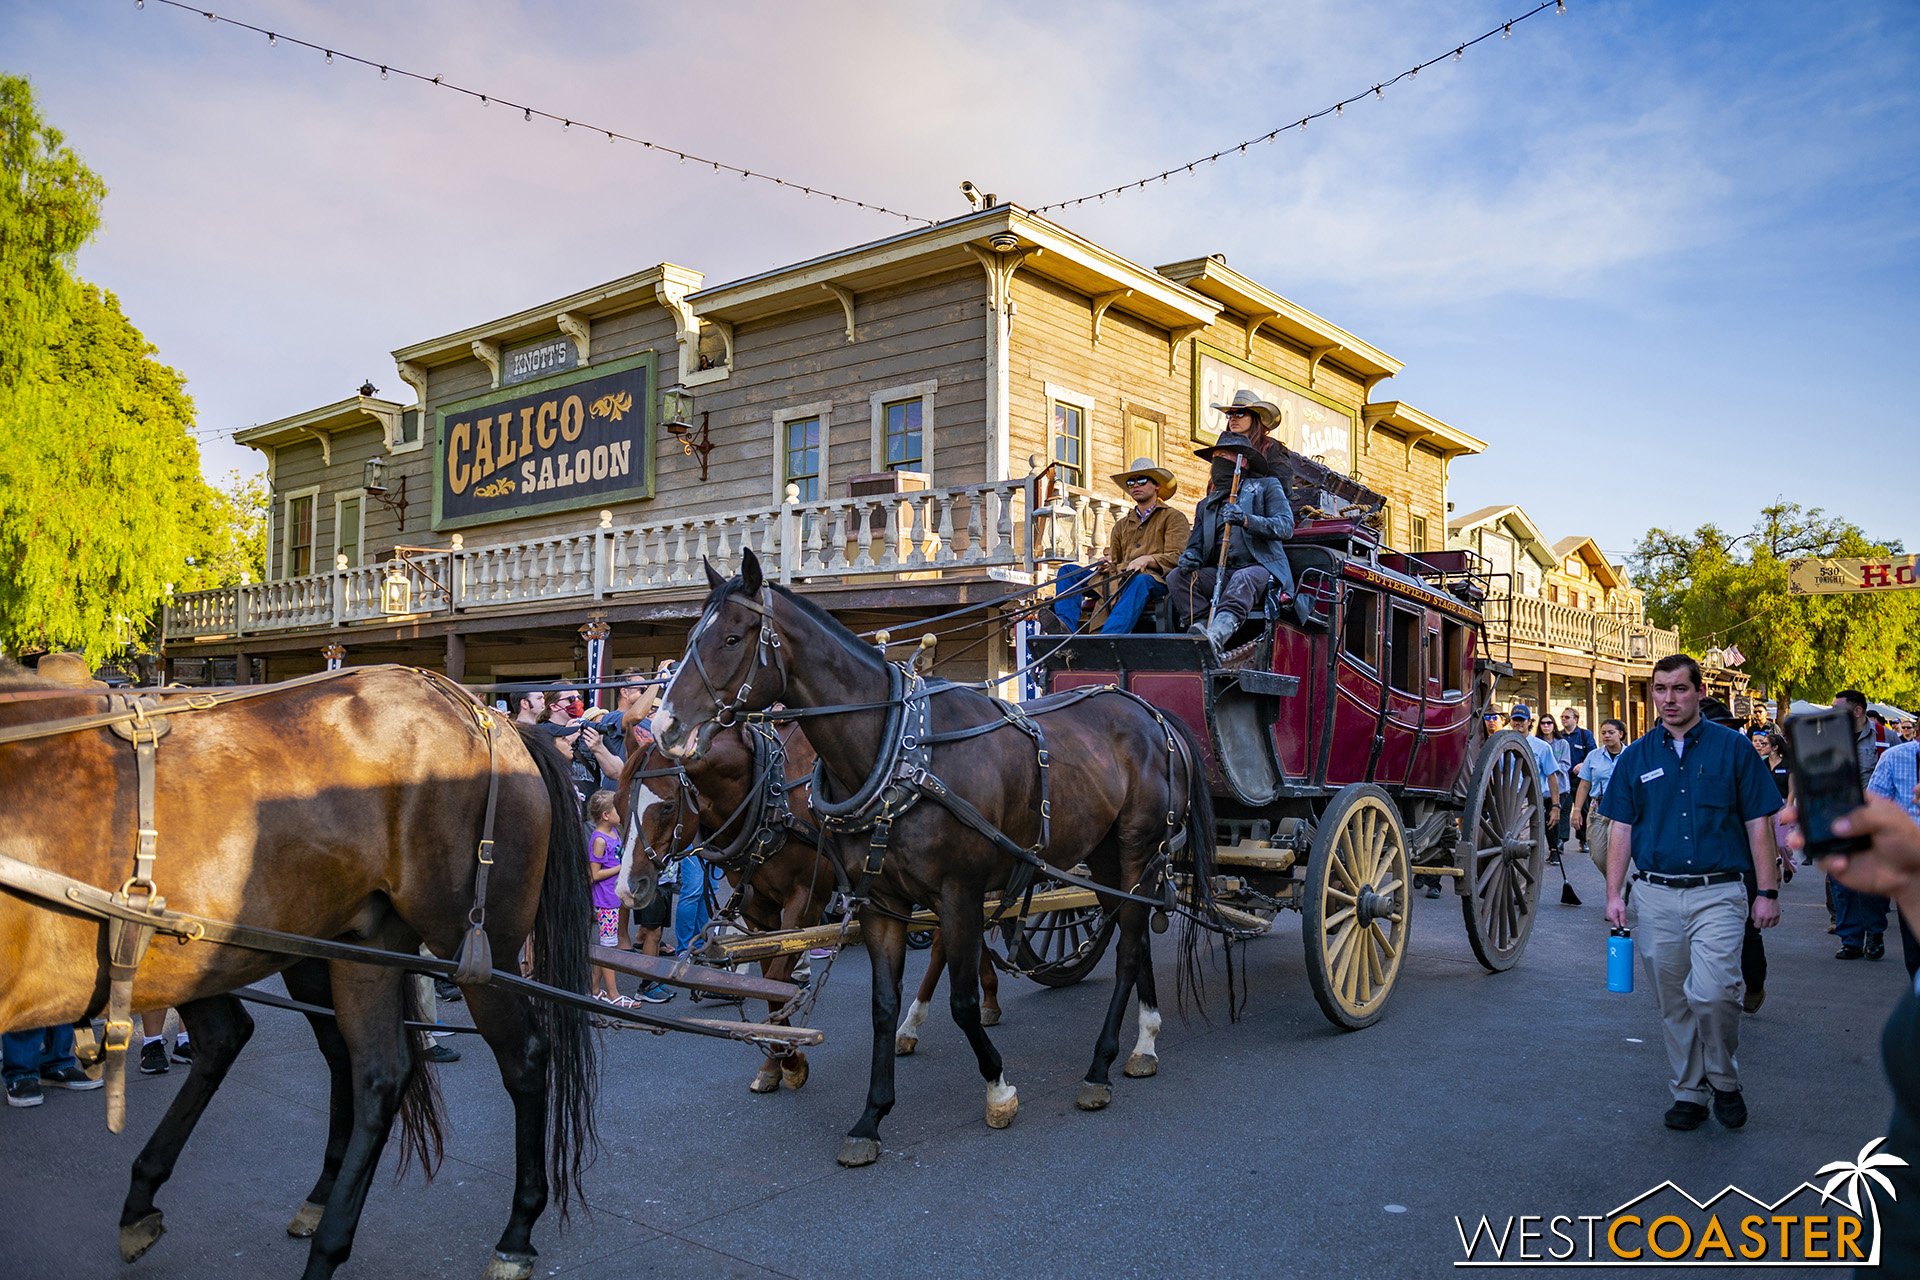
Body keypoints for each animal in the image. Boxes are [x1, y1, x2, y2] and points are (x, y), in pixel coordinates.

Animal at [0, 667, 595, 1274]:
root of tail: (488, 716)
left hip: (474, 946)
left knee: (523, 1058)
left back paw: (516, 1232)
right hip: (338, 949)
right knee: (368, 1068)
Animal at [614, 721, 1006, 1090]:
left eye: (667, 805)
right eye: (617, 802)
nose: (628, 888)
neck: (768, 792)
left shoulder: (807, 896)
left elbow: (776, 979)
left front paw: (791, 1063)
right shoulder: (759, 908)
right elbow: (768, 981)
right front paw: (775, 1064)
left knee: (951, 939)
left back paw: (922, 1021)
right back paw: (983, 1001)